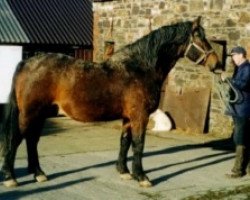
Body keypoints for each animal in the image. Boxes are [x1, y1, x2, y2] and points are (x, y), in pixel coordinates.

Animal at [0, 16, 219, 188]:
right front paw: (142, 176)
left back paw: (38, 174)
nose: (216, 63)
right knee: (16, 139)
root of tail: (27, 62)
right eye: (199, 37)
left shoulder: (128, 117)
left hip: (41, 114)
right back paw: (11, 177)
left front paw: (124, 172)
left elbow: (125, 142)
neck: (140, 68)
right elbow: (138, 144)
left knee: (32, 140)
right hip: (29, 114)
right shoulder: (140, 116)